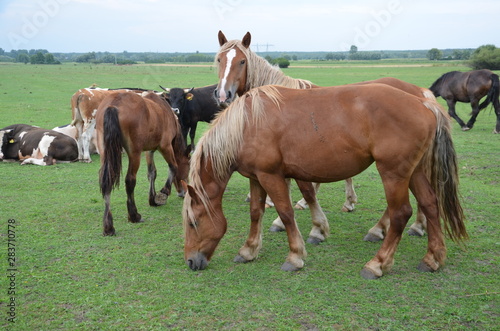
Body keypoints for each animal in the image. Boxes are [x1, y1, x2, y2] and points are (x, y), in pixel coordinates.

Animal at [96, 91, 191, 236]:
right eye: (189, 166)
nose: (183, 192)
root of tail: (114, 104)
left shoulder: (149, 150)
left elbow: (152, 173)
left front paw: (152, 199)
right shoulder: (165, 146)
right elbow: (173, 167)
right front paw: (163, 194)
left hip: (105, 152)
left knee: (106, 181)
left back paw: (108, 226)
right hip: (134, 153)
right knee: (130, 180)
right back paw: (134, 215)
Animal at [184, 84, 468, 278]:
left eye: (193, 222)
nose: (190, 261)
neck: (247, 123)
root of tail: (423, 103)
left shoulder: (271, 176)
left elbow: (286, 213)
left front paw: (295, 256)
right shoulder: (257, 177)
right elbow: (256, 212)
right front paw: (249, 250)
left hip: (394, 173)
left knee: (401, 213)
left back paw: (377, 263)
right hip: (415, 172)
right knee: (430, 205)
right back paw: (433, 258)